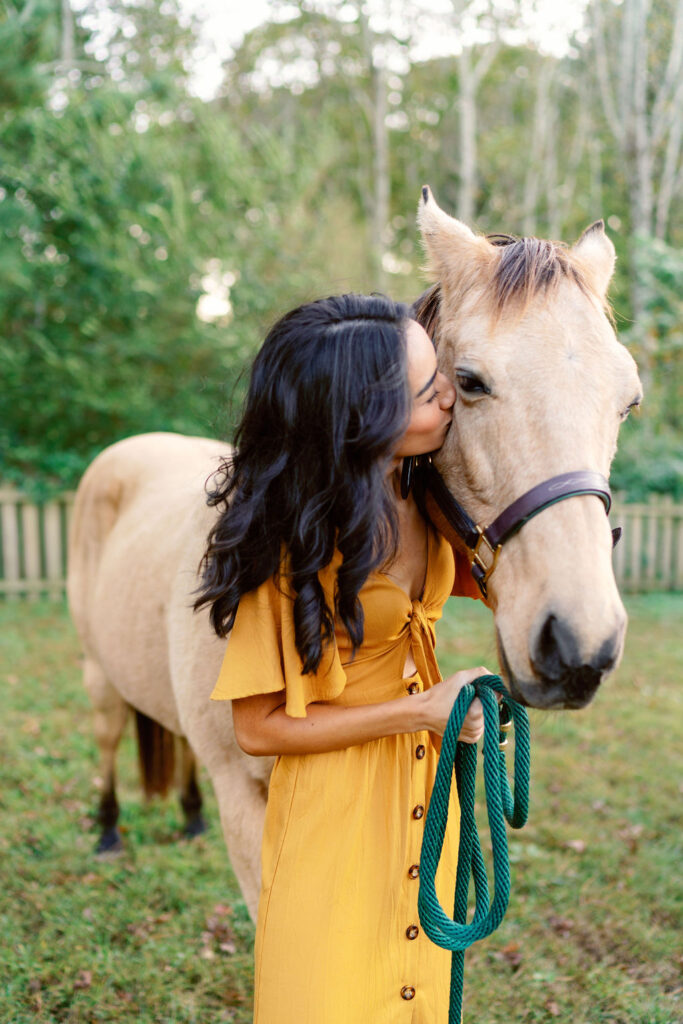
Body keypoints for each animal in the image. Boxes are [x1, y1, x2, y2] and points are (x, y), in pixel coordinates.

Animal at [66, 190, 643, 921]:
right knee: (108, 736)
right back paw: (109, 830)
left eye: (627, 401)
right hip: (97, 675)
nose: (578, 645)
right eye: (468, 381)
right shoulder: (243, 803)